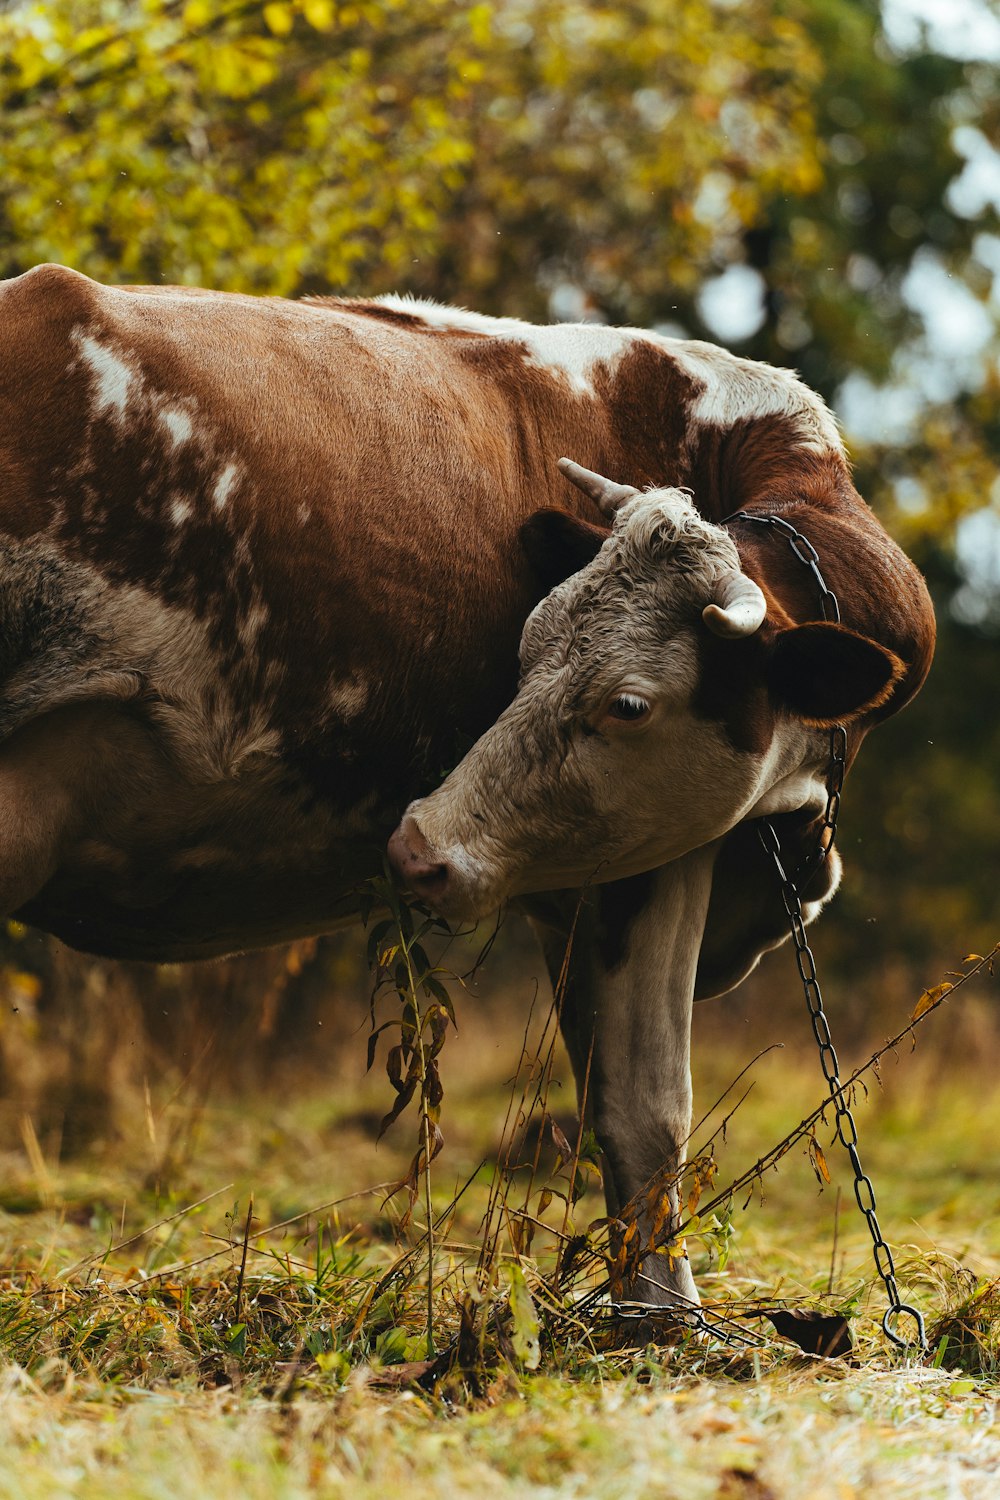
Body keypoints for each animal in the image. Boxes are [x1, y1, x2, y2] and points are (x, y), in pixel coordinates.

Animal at [0, 267, 941, 1314]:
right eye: (528, 650)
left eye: (625, 702)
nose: (414, 847)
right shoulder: (653, 856)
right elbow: (647, 1107)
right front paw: (666, 1318)